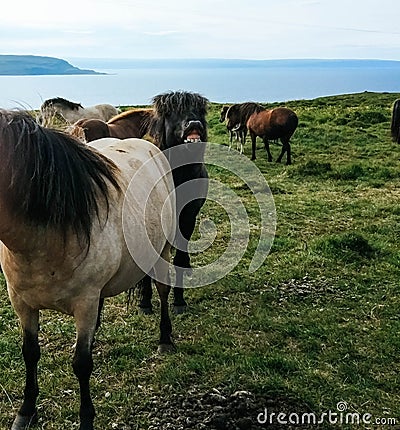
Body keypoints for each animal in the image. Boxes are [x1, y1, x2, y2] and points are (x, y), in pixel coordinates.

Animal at [0, 111, 175, 430]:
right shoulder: (21, 302)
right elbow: (30, 353)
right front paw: (26, 411)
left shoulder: (84, 304)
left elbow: (81, 364)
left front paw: (86, 418)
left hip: (163, 251)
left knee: (164, 291)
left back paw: (165, 339)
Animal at [139, 90, 209, 314]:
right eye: (171, 113)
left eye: (199, 110)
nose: (194, 123)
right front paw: (144, 303)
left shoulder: (187, 218)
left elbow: (180, 258)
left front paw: (179, 301)